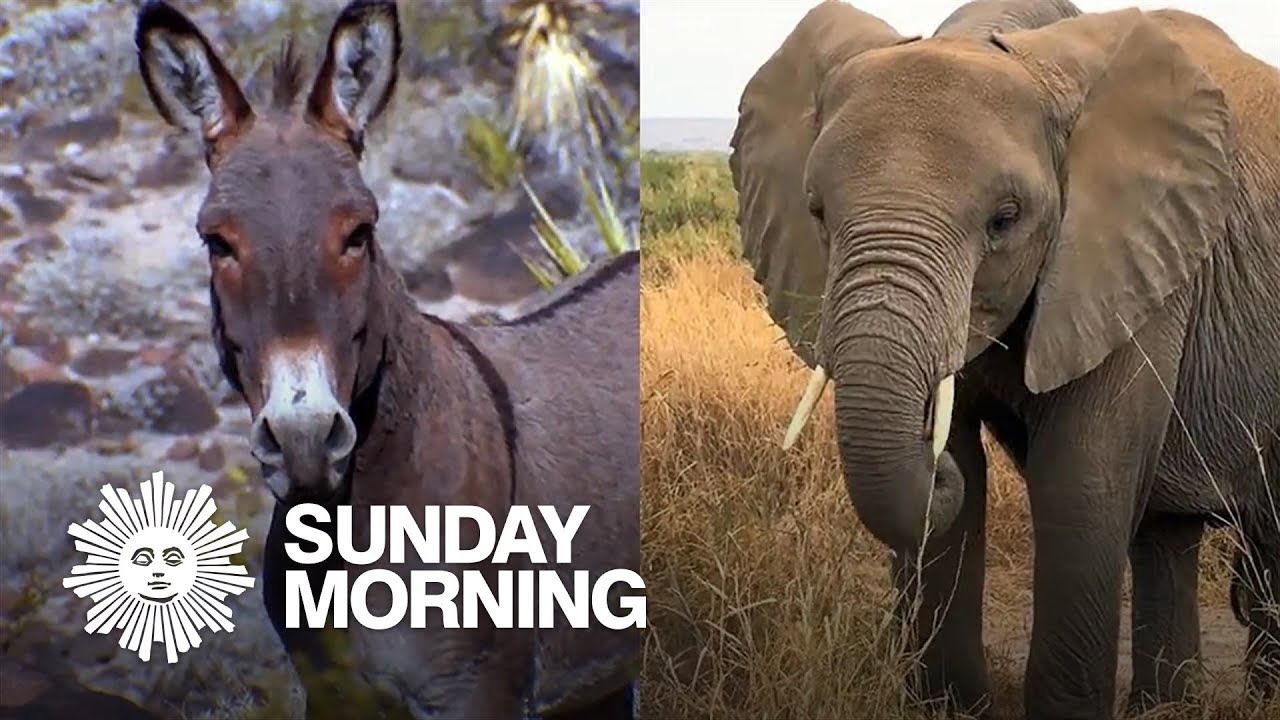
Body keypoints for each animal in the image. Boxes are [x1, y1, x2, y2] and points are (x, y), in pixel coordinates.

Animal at [729, 1, 1280, 718]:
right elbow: (964, 489)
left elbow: (1079, 479)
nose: (928, 460)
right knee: (1168, 535)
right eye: (817, 212)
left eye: (1005, 219)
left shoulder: (1138, 260)